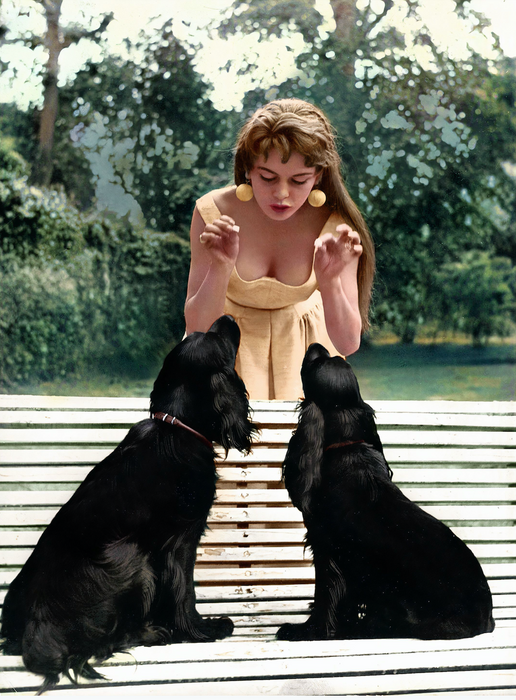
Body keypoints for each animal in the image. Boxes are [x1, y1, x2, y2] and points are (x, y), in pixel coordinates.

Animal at [1, 318, 256, 696]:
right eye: (218, 339)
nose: (227, 318)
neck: (176, 426)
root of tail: (37, 621)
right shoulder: (180, 541)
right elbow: (185, 592)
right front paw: (201, 631)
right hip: (130, 558)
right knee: (112, 640)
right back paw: (155, 633)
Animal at [278, 344, 496, 640]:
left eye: (317, 363)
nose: (317, 345)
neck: (347, 445)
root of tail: (486, 619)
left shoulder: (327, 550)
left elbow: (326, 597)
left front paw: (307, 630)